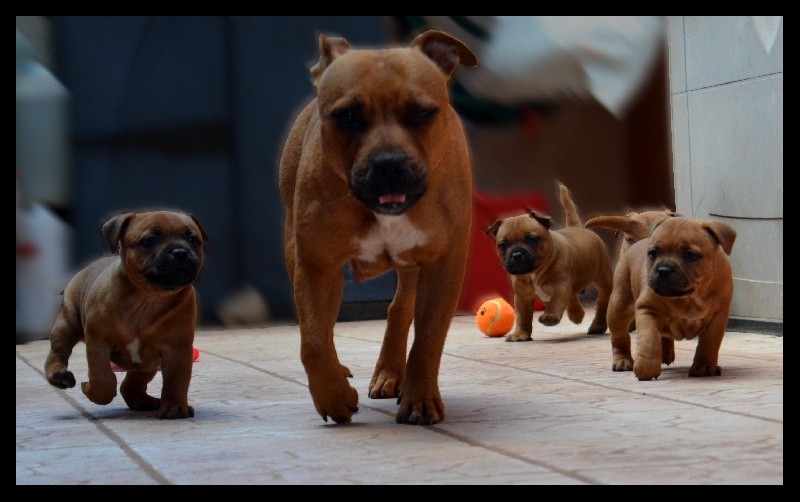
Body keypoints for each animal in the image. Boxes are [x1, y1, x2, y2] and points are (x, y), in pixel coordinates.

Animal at [44, 210, 209, 418]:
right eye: (150, 240)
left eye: (194, 240)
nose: (180, 252)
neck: (148, 298)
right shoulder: (98, 342)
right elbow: (103, 378)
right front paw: (91, 390)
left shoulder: (177, 349)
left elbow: (176, 380)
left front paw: (174, 406)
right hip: (67, 324)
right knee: (57, 352)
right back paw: (58, 374)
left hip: (148, 363)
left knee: (131, 383)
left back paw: (142, 400)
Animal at [278, 31, 478, 424]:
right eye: (346, 116)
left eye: (422, 113)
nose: (388, 162)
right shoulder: (315, 265)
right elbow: (313, 340)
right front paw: (332, 394)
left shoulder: (444, 265)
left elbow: (429, 338)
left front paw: (420, 398)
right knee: (326, 328)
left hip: (412, 267)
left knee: (400, 309)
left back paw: (390, 373)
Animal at [482, 186, 612, 344]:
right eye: (502, 245)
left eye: (532, 239)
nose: (517, 255)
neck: (534, 273)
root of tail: (577, 227)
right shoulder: (522, 297)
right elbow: (523, 317)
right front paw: (520, 334)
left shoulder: (560, 286)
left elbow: (555, 302)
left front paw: (550, 316)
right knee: (573, 296)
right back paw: (577, 314)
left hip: (603, 279)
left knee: (602, 303)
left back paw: (598, 325)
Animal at [612, 217, 736, 380]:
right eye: (652, 254)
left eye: (691, 255)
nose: (663, 270)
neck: (690, 298)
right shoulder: (647, 310)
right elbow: (649, 339)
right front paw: (646, 367)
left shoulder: (717, 318)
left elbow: (709, 343)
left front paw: (704, 366)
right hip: (618, 308)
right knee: (620, 338)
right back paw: (622, 360)